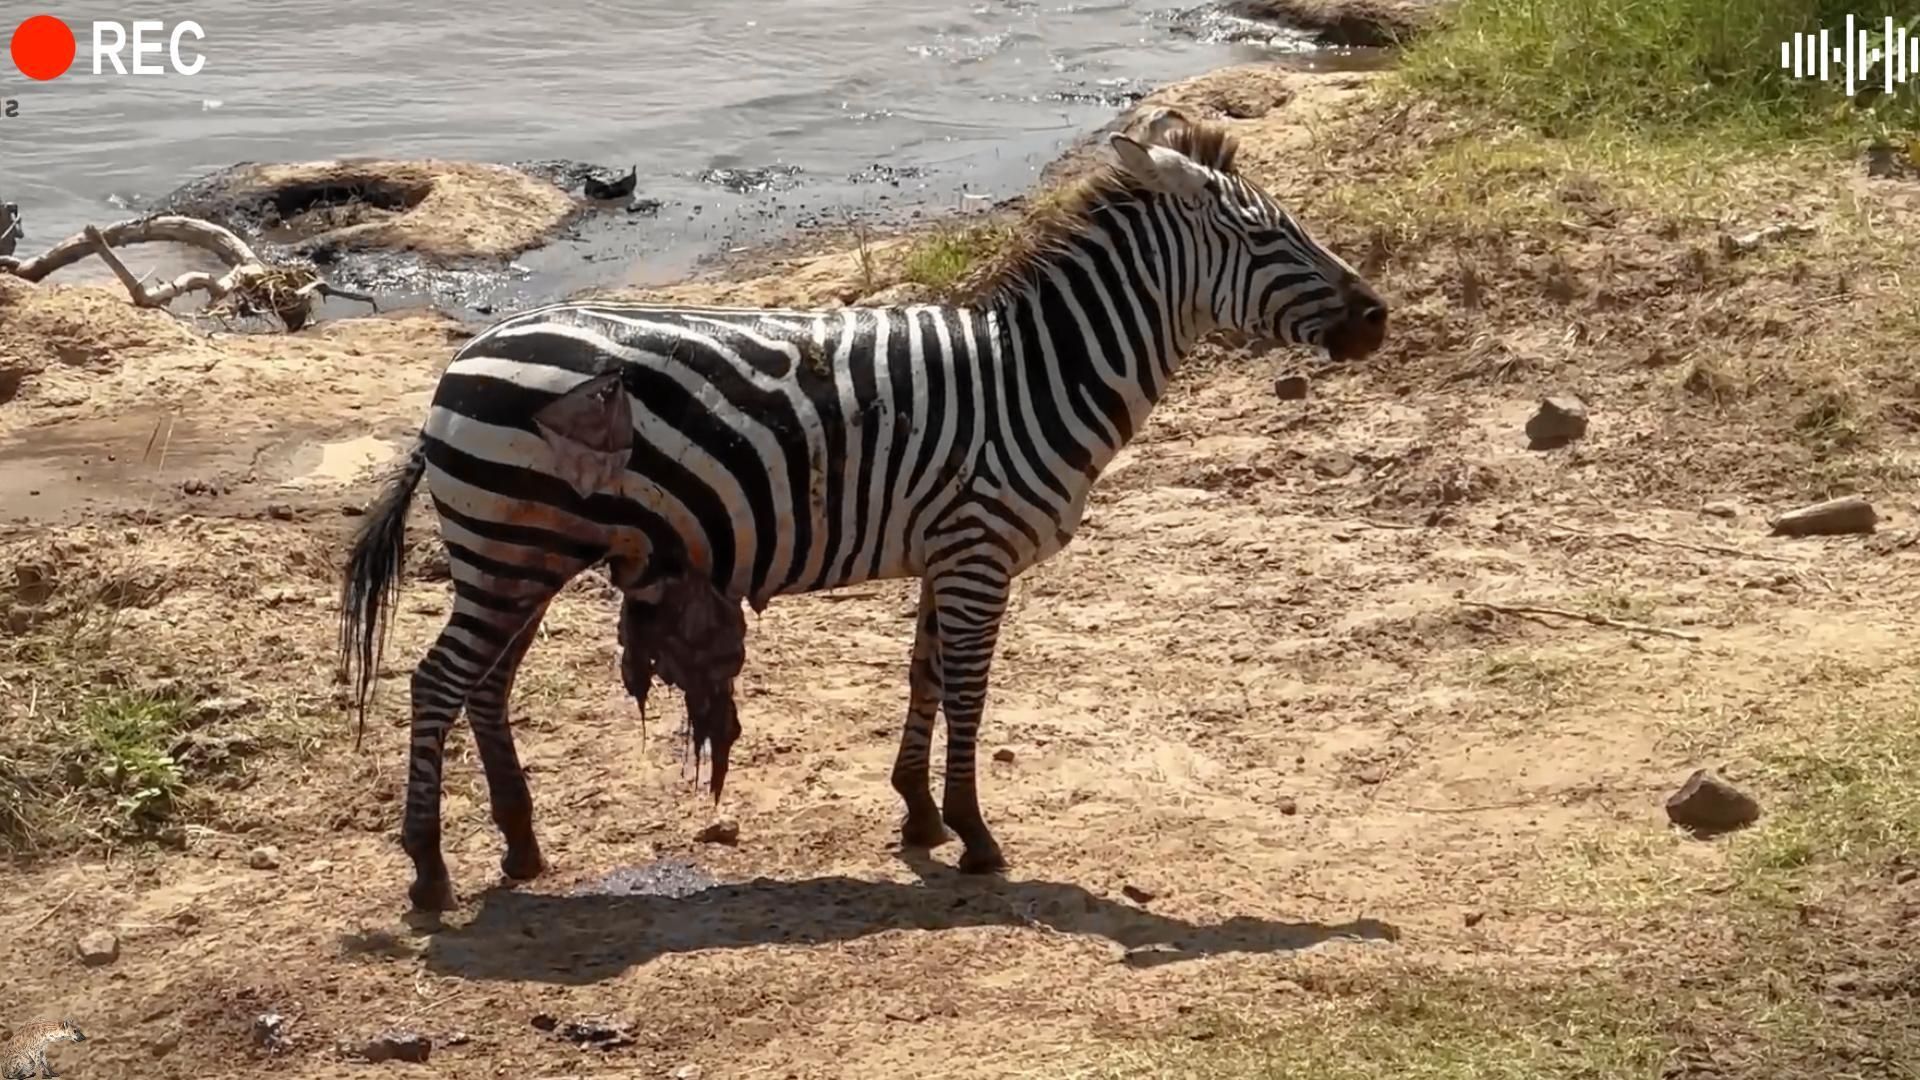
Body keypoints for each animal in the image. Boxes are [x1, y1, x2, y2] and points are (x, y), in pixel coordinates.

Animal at [337, 105, 1390, 903]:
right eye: (1266, 234)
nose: (1378, 319)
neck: (1038, 375)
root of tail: (463, 359)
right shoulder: (979, 553)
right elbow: (967, 690)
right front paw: (974, 832)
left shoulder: (951, 551)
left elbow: (924, 678)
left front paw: (919, 814)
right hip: (509, 552)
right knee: (438, 683)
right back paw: (429, 870)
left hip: (526, 557)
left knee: (483, 688)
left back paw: (520, 846)